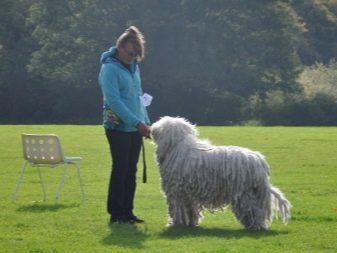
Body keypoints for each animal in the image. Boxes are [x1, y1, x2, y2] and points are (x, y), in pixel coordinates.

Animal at [151, 116, 290, 229]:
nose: (151, 128)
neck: (177, 147)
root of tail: (259, 162)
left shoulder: (177, 192)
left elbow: (178, 209)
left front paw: (175, 224)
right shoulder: (188, 194)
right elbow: (190, 210)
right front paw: (191, 223)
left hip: (245, 193)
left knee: (252, 210)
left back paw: (256, 226)